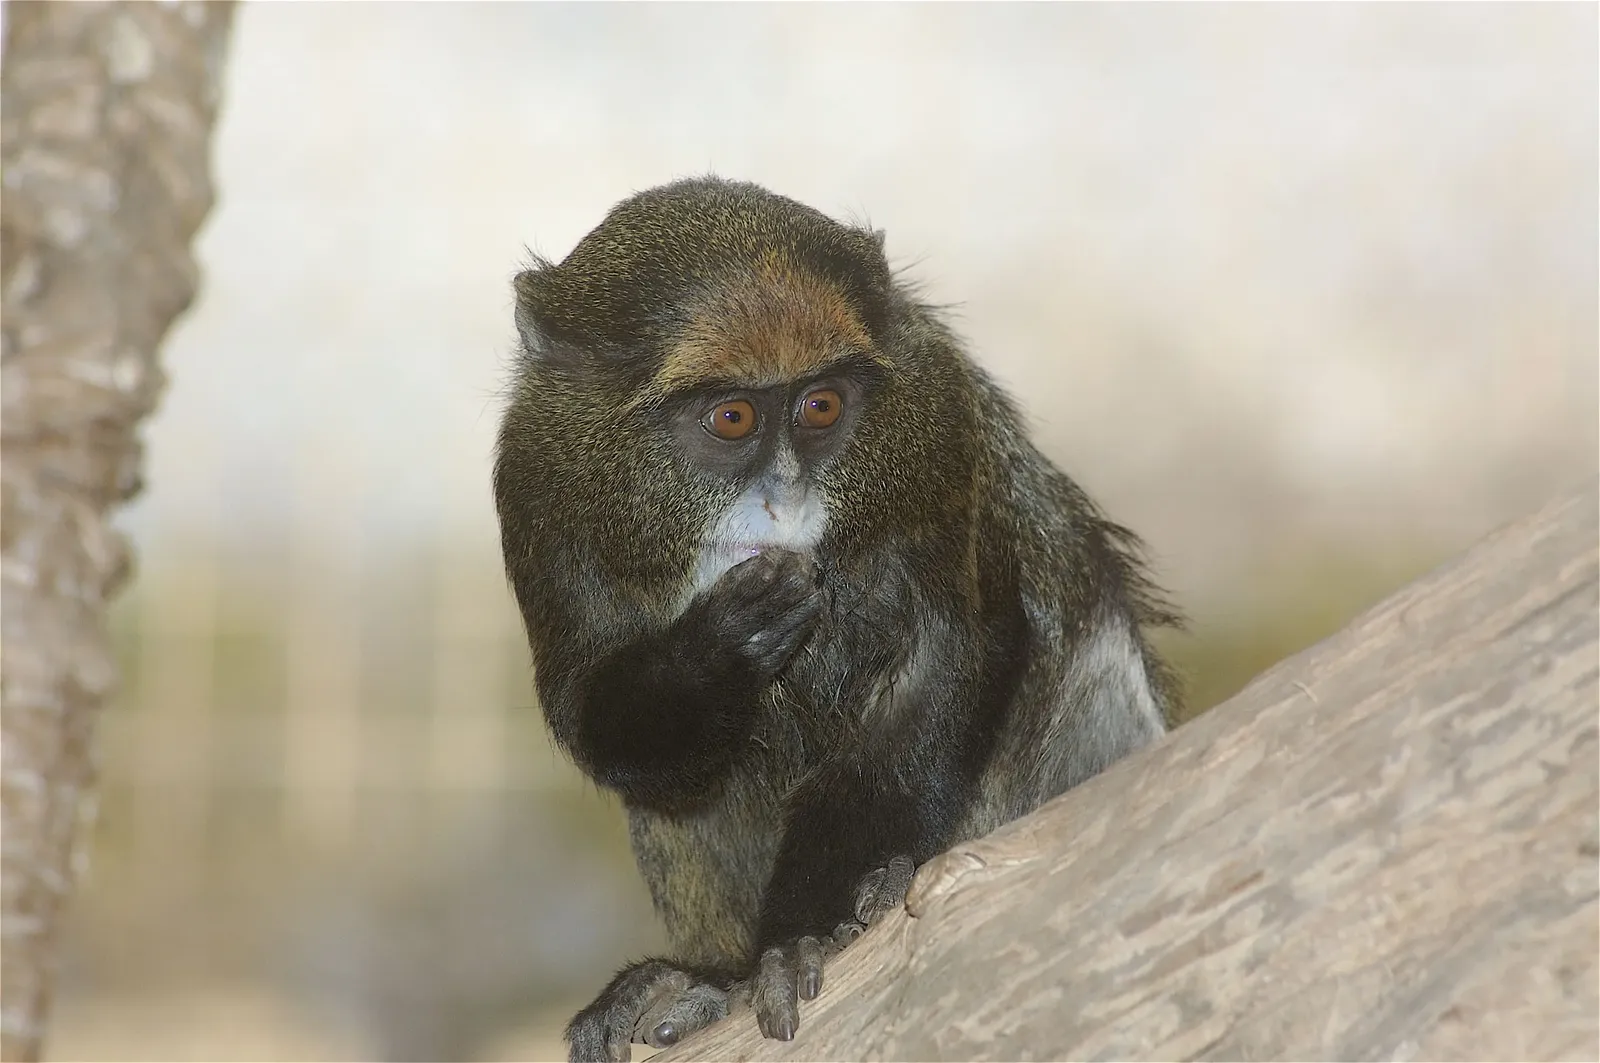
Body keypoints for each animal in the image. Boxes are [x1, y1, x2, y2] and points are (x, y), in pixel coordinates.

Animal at [493, 176, 1180, 1063]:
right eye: (733, 419)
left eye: (820, 406)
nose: (785, 497)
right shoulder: (533, 479)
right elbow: (597, 722)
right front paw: (719, 652)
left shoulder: (937, 421)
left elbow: (939, 669)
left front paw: (804, 936)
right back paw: (704, 979)